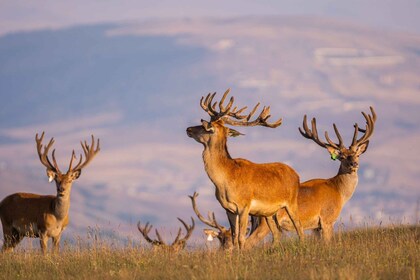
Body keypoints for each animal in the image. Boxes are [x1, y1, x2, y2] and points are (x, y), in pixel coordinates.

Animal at [185, 88, 304, 248]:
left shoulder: (244, 206)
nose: (188, 129)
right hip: (268, 213)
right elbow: (235, 238)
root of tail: (296, 175)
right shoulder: (228, 209)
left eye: (205, 126)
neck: (225, 180)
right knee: (276, 234)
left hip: (291, 203)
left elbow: (241, 238)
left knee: (300, 228)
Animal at [244, 106, 376, 243]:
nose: (354, 164)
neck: (339, 193)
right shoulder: (327, 219)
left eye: (357, 155)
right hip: (264, 221)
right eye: (342, 157)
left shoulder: (316, 227)